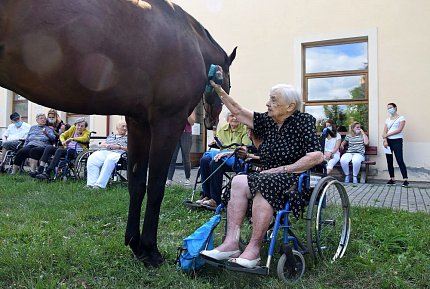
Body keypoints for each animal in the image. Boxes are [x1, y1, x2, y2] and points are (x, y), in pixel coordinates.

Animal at [0, 0, 235, 266]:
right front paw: (151, 250)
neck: (188, 38)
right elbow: (155, 187)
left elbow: (136, 184)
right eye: (228, 84)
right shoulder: (167, 122)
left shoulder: (138, 123)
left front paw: (136, 245)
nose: (212, 121)